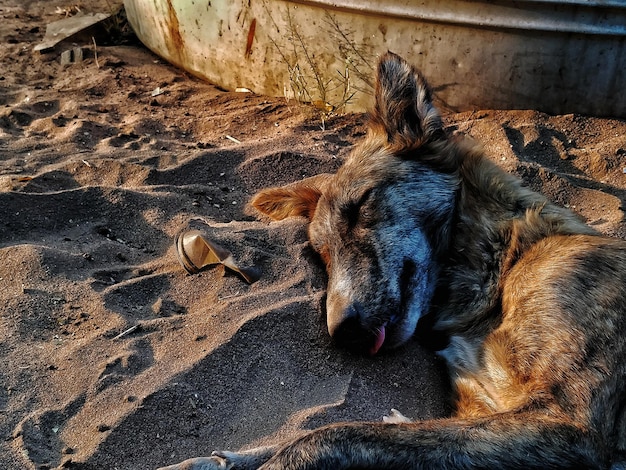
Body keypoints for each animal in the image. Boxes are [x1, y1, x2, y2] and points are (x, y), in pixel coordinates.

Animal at [160, 52, 624, 470]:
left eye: (361, 205)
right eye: (320, 254)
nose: (342, 332)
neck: (507, 262)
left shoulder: (565, 423)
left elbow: (326, 436)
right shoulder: (481, 408)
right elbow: (298, 438)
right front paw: (215, 460)